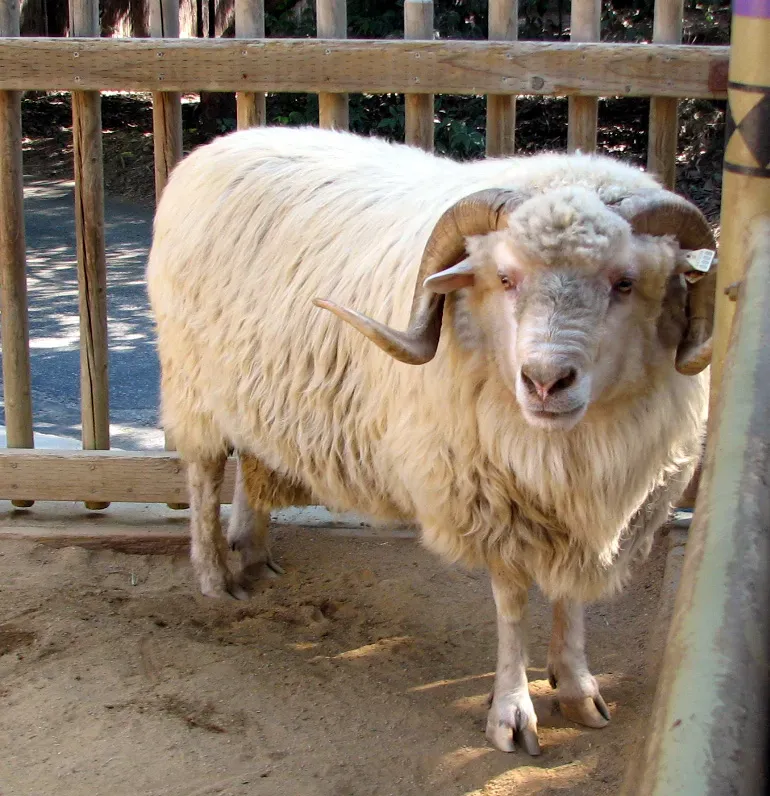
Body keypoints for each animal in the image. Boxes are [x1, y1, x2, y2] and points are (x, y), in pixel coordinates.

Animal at [146, 125, 716, 756]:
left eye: (625, 283)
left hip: (254, 389)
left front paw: (576, 687)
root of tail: (217, 146)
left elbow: (570, 598)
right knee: (203, 475)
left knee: (253, 455)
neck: (563, 448)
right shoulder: (493, 504)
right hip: (193, 384)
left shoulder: (579, 511)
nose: (546, 381)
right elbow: (513, 603)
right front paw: (512, 712)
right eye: (504, 278)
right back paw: (214, 576)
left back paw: (253, 551)